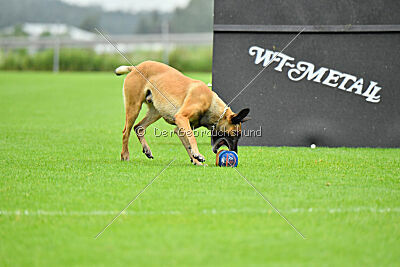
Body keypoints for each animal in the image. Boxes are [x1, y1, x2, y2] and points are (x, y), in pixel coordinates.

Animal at [114, 61, 250, 165]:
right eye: (235, 134)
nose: (235, 153)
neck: (211, 104)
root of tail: (135, 67)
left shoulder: (180, 128)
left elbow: (187, 143)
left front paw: (196, 160)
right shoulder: (181, 118)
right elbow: (192, 139)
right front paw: (198, 155)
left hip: (156, 112)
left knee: (139, 127)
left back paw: (146, 149)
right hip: (134, 107)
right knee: (126, 132)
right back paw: (125, 155)